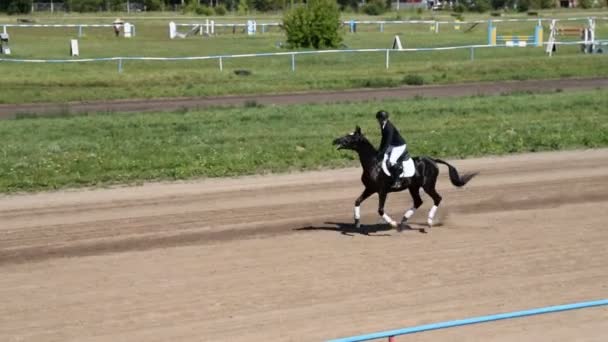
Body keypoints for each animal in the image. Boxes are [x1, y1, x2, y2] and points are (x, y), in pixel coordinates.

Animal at [334, 126, 478, 232]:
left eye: (350, 137)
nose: (335, 140)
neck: (373, 164)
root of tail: (432, 160)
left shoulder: (382, 190)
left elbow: (380, 210)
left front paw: (392, 223)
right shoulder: (370, 189)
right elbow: (357, 201)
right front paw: (357, 222)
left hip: (428, 185)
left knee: (437, 198)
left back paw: (428, 221)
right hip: (413, 187)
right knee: (418, 201)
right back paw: (403, 220)